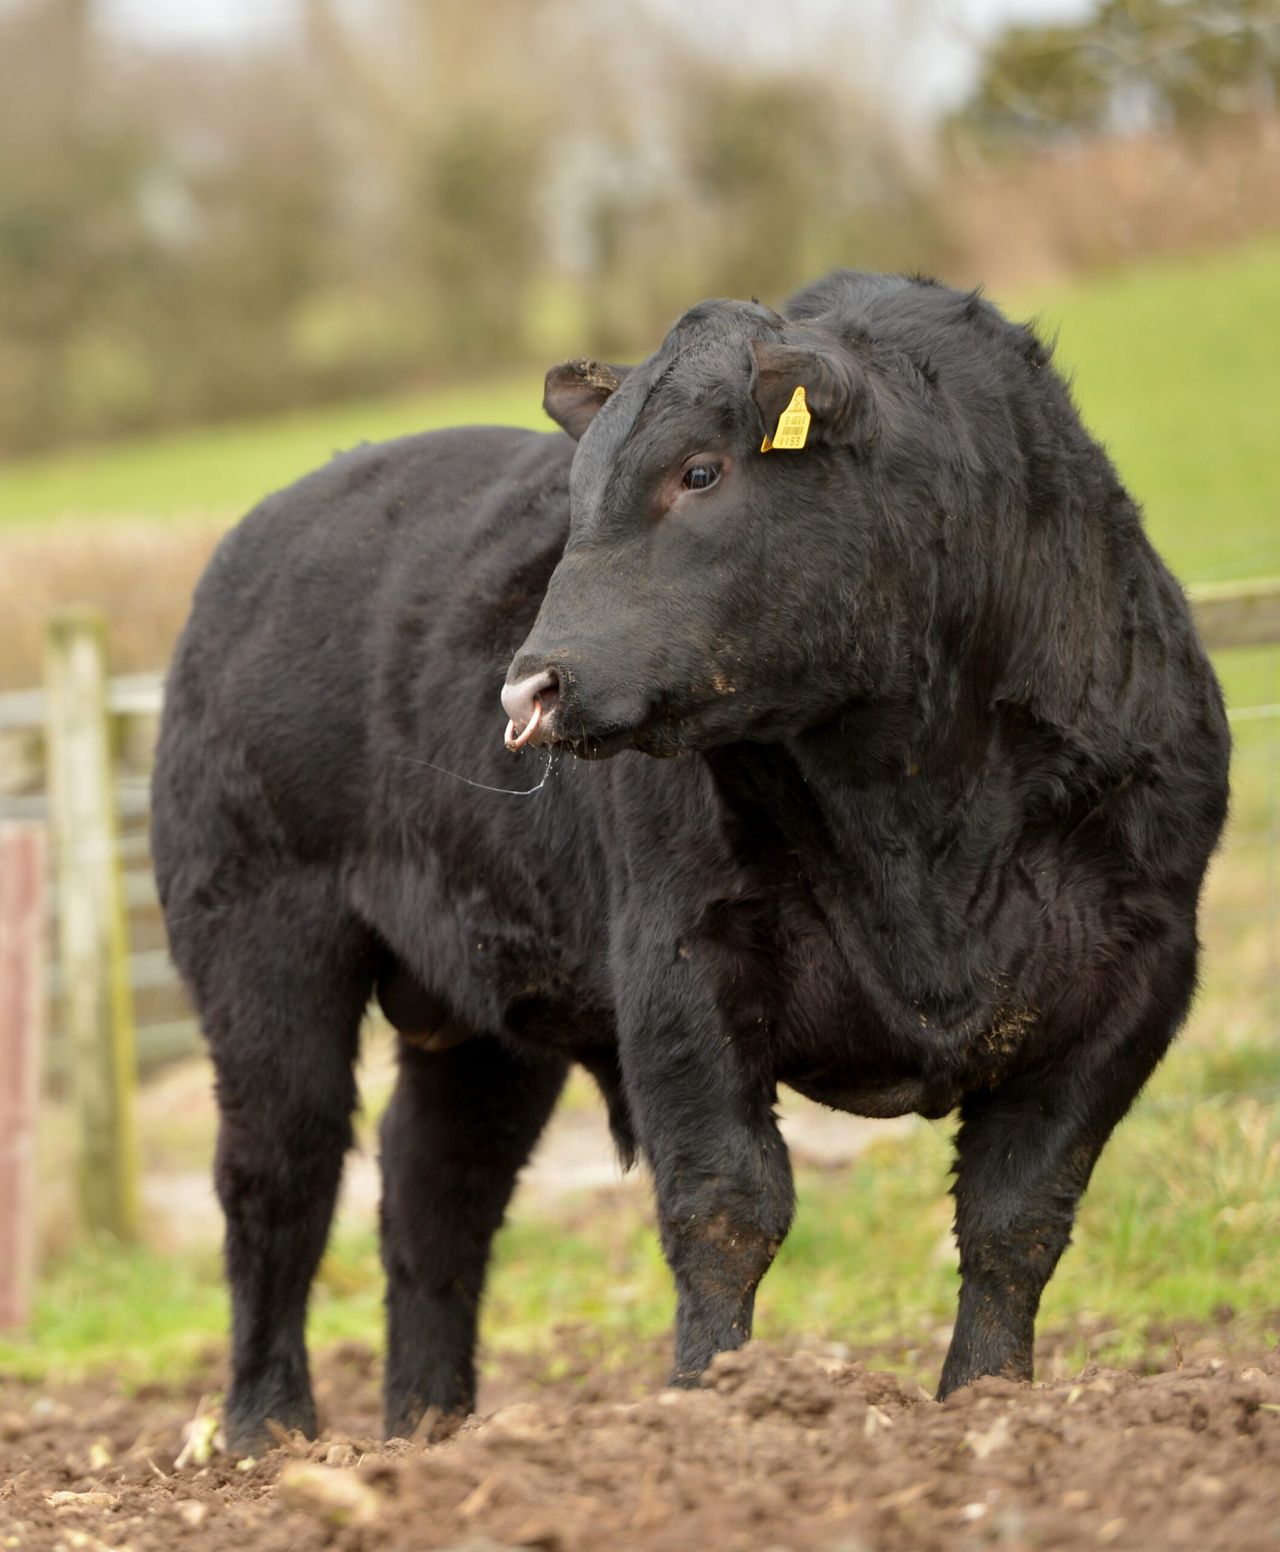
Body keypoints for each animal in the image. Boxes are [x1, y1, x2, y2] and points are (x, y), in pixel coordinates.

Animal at [151, 269, 1230, 1453]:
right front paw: (715, 1404)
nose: (527, 687)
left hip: (479, 1015)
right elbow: (727, 1204)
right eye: (577, 491)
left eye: (699, 469)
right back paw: (268, 1431)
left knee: (436, 1192)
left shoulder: (1134, 974)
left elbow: (1018, 1213)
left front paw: (986, 1400)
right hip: (261, 947)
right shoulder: (680, 963)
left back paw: (432, 1429)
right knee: (279, 1179)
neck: (922, 812)